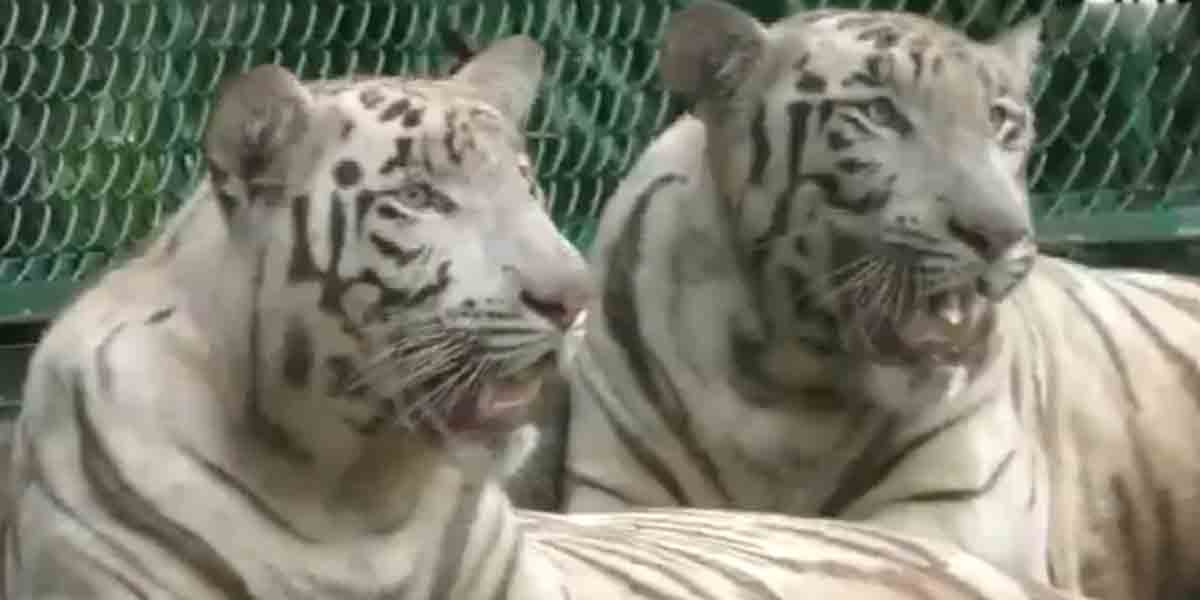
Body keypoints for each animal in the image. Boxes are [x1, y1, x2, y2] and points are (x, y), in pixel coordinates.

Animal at [513, 3, 1200, 600]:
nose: (1001, 233)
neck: (785, 379)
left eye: (1003, 122)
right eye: (880, 113)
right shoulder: (620, 494)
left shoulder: (956, 519)